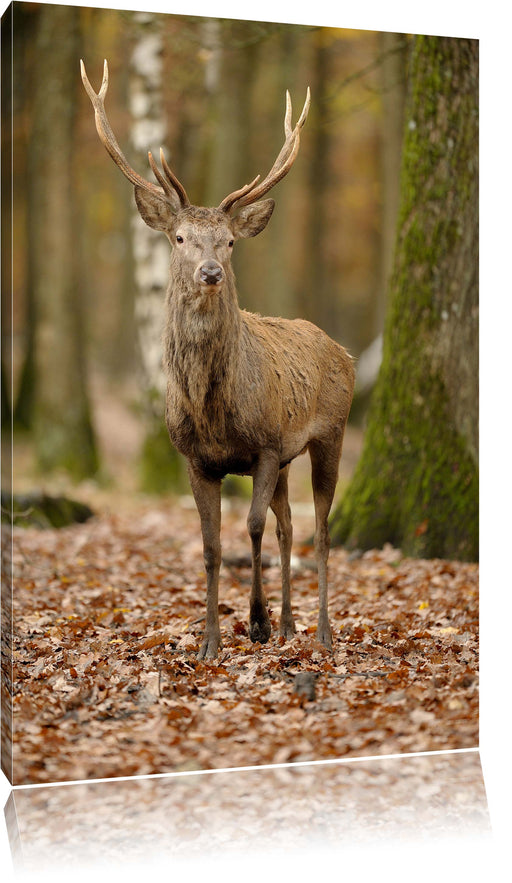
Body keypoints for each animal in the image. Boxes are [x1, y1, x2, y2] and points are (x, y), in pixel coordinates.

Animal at [83, 58, 356, 660]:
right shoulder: (195, 457)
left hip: (330, 433)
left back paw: (321, 631)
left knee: (321, 528)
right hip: (291, 457)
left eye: (229, 242)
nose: (210, 272)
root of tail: (342, 349)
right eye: (181, 237)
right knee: (290, 526)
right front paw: (210, 640)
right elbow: (210, 545)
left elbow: (250, 528)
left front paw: (254, 622)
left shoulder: (266, 444)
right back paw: (290, 624)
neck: (214, 411)